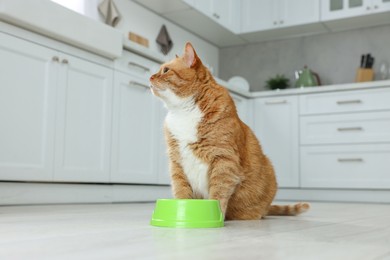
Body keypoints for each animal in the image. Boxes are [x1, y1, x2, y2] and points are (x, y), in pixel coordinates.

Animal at [149, 42, 308, 219]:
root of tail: (267, 208)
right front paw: (181, 214)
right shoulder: (177, 162)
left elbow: (218, 193)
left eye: (165, 70)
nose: (150, 77)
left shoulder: (224, 159)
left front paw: (216, 216)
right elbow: (181, 191)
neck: (183, 111)